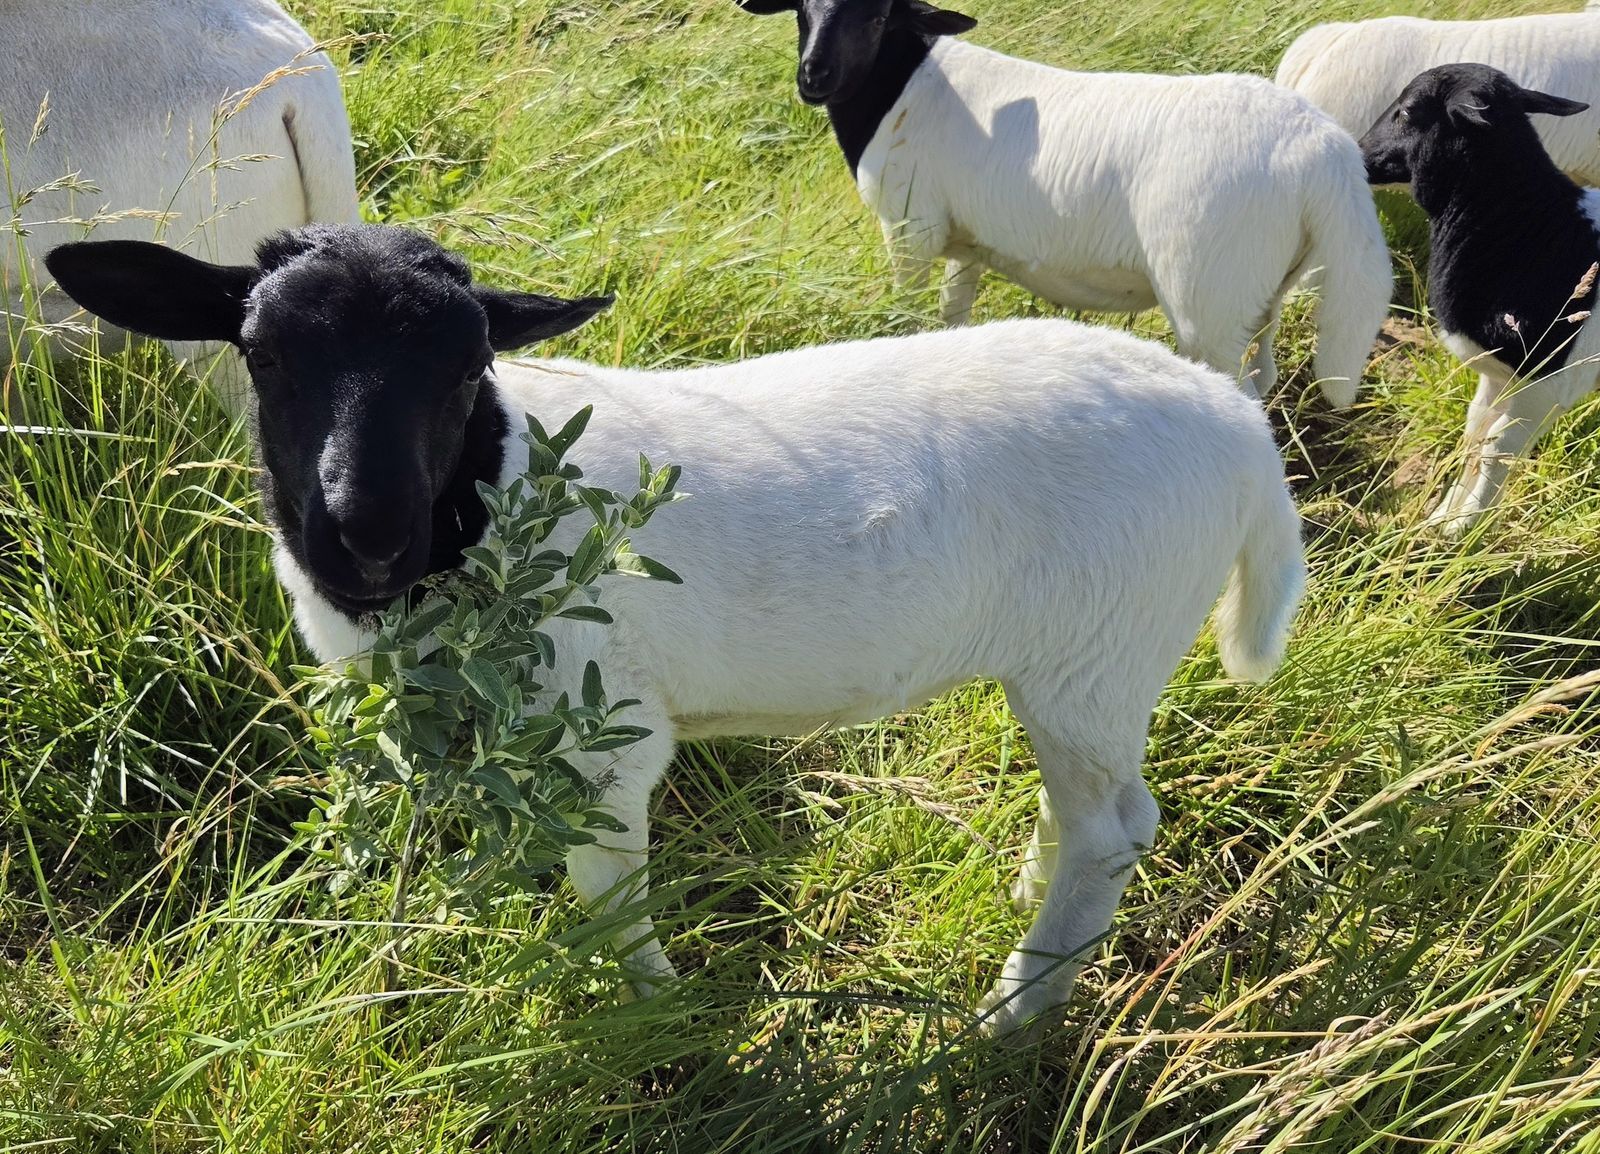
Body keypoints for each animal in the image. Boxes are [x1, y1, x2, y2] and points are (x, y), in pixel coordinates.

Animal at [42, 223, 1307, 1035]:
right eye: (261, 353)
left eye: (469, 363)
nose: (365, 532)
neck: (485, 506)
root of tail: (1239, 429)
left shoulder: (602, 739)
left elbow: (605, 896)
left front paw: (659, 1012)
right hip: (1080, 662)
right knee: (1082, 809)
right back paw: (1027, 905)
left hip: (1104, 645)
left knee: (1113, 830)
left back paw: (1015, 1007)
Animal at [737, 0, 1391, 408]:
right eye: (802, 9)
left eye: (877, 16)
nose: (813, 78)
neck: (900, 85)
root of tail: (1322, 150)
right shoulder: (967, 243)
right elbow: (953, 314)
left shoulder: (911, 229)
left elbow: (906, 316)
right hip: (1263, 293)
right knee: (1265, 371)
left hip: (1210, 301)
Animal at [1358, 64, 1600, 537]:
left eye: (1408, 110)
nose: (1357, 152)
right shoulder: (1500, 375)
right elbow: (1476, 431)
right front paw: (1445, 514)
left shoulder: (1546, 385)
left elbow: (1496, 447)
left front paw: (1463, 528)